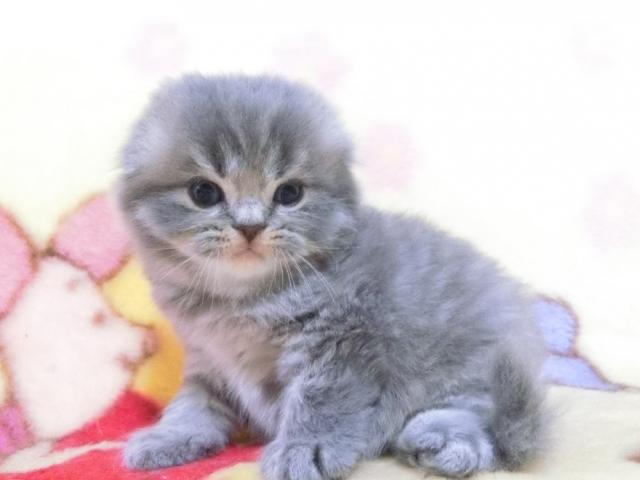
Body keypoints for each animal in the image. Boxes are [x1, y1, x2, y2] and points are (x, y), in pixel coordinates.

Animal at [117, 74, 547, 479]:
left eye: (289, 194)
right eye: (204, 193)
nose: (250, 226)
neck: (243, 298)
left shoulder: (343, 341)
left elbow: (322, 401)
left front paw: (306, 447)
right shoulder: (209, 357)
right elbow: (194, 402)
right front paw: (170, 436)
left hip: (469, 369)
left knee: (485, 435)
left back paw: (439, 441)